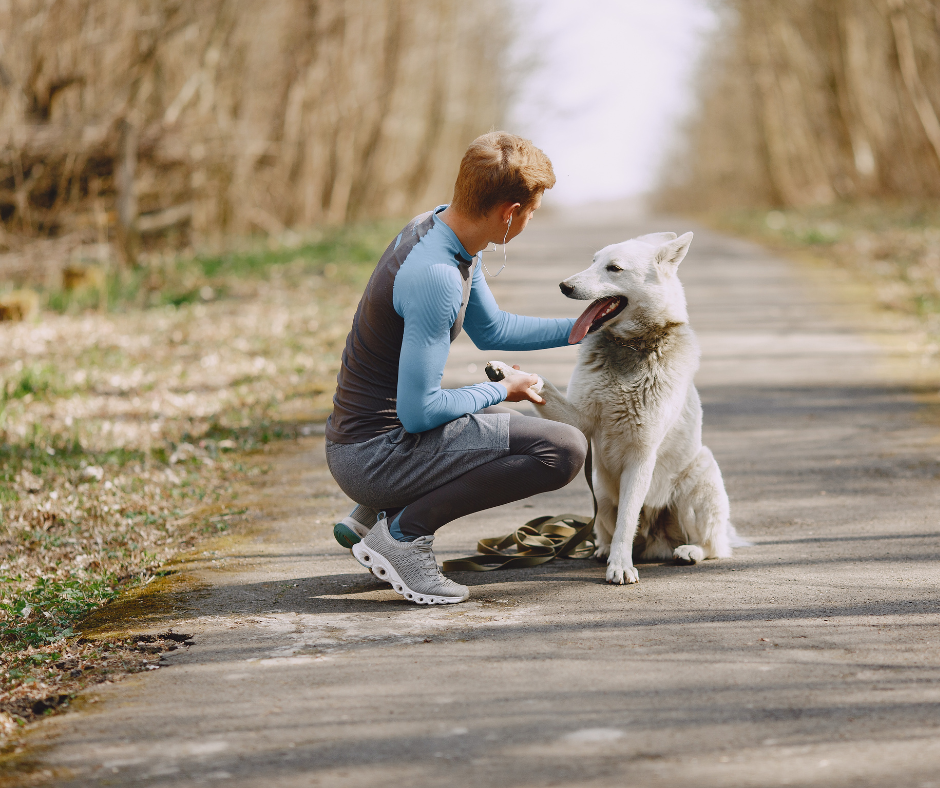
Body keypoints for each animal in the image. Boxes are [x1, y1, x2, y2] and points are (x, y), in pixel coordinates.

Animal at [488, 231, 740, 580]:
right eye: (593, 261)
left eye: (614, 268)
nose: (564, 286)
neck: (630, 346)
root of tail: (655, 542)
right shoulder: (580, 421)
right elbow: (543, 385)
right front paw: (509, 374)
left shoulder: (641, 456)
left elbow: (627, 521)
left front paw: (620, 566)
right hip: (602, 493)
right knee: (603, 529)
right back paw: (603, 549)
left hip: (700, 478)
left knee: (713, 545)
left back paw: (688, 551)